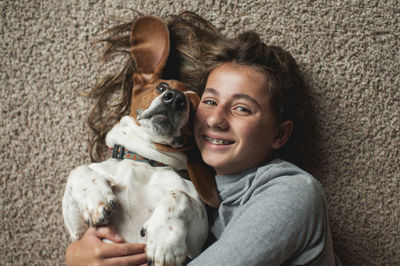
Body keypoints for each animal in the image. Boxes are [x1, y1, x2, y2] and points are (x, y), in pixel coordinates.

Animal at [61, 15, 222, 264]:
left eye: (195, 108)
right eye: (162, 87)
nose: (175, 98)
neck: (145, 160)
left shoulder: (197, 240)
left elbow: (179, 195)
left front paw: (164, 241)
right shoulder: (79, 232)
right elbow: (78, 170)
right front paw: (96, 199)